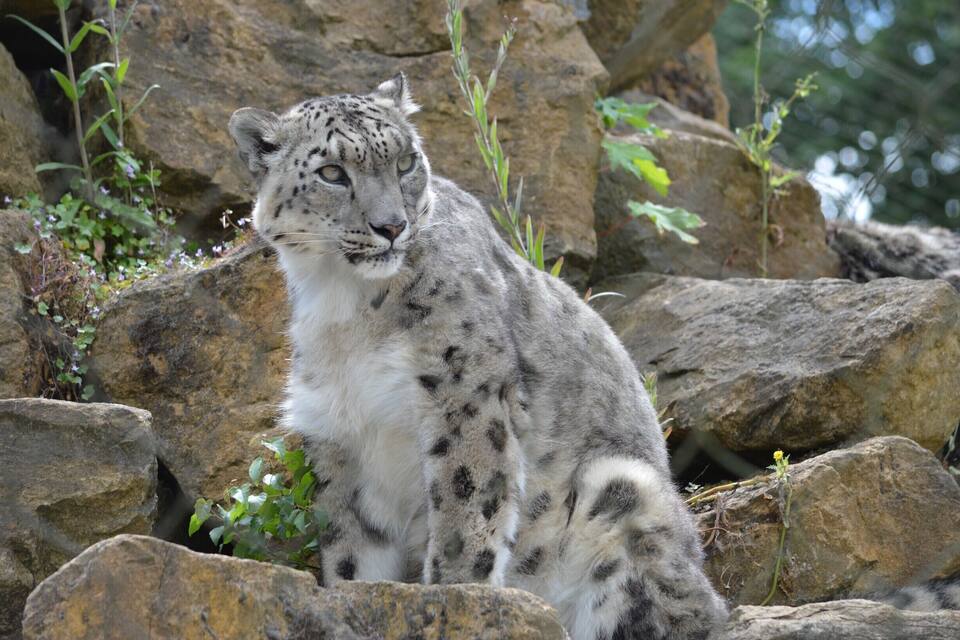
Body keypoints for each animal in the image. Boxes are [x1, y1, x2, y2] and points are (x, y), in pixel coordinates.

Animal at [228, 73, 728, 640]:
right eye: (332, 172)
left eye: (406, 162)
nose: (392, 226)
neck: (344, 306)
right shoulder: (339, 435)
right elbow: (352, 549)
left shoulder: (464, 394)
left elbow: (464, 513)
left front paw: (456, 598)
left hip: (624, 489)